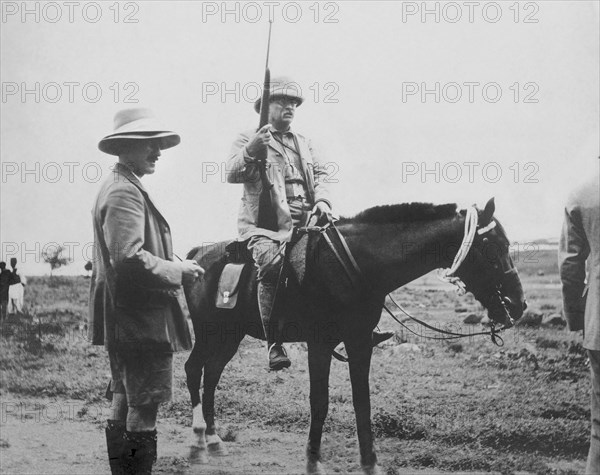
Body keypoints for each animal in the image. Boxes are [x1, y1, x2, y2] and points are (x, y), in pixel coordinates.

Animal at [183, 199, 524, 474]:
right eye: (493, 248)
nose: (518, 303)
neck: (354, 263)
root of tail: (196, 254)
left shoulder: (359, 342)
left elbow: (363, 402)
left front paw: (370, 462)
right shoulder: (319, 344)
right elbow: (319, 402)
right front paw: (313, 461)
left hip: (229, 337)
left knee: (211, 375)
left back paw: (214, 440)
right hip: (208, 333)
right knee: (193, 369)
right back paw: (198, 441)